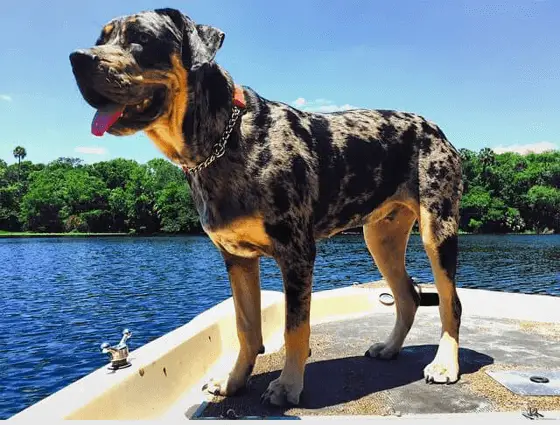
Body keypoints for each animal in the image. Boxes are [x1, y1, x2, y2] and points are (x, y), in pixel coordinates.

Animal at [70, 8, 464, 406]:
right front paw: (233, 382)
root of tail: (436, 127)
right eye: (101, 38)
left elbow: (295, 328)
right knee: (407, 296)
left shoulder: (296, 253)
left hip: (437, 230)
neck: (222, 142)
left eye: (141, 38)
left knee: (450, 302)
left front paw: (287, 386)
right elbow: (246, 328)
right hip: (381, 237)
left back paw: (445, 365)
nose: (78, 59)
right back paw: (389, 348)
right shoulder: (237, 258)